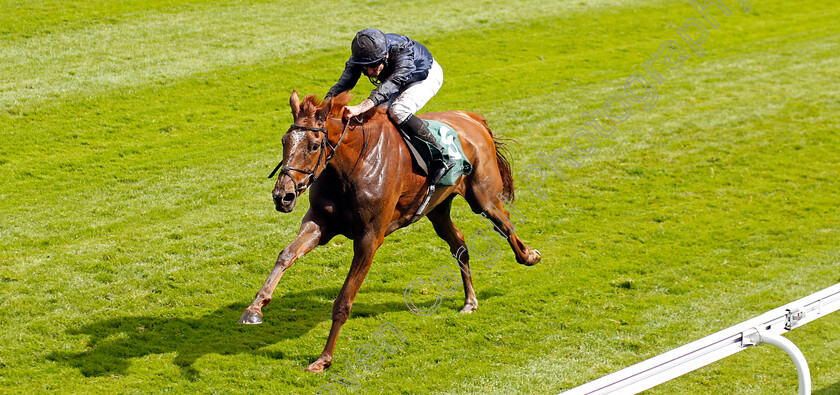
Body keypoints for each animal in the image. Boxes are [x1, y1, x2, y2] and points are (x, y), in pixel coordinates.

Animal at [240, 91, 540, 372]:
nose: (283, 196)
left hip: (484, 198)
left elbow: (343, 301)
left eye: (314, 145)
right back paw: (470, 300)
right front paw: (254, 308)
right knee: (460, 244)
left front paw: (324, 359)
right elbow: (286, 255)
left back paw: (529, 256)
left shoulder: (369, 239)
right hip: (437, 209)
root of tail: (472, 118)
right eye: (284, 142)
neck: (354, 163)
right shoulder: (319, 223)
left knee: (506, 224)